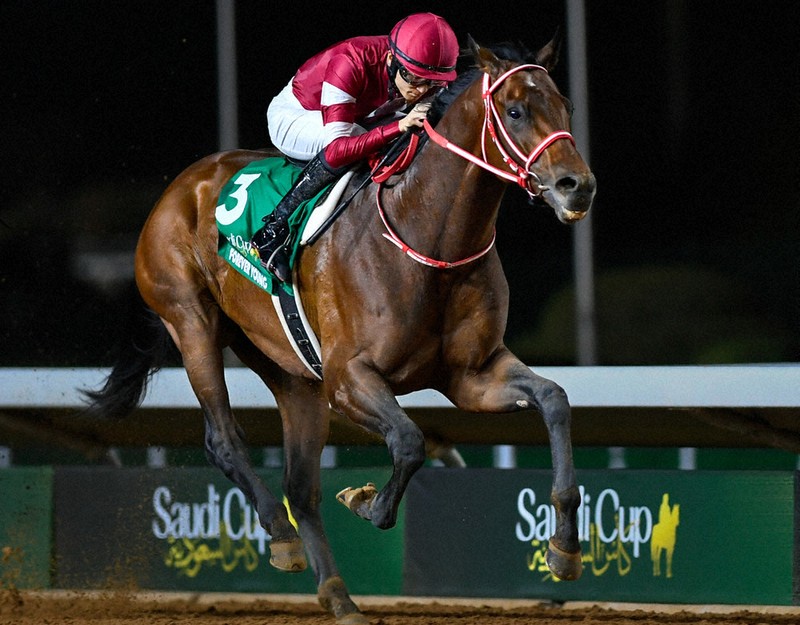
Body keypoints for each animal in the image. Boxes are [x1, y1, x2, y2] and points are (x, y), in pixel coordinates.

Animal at [85, 36, 596, 623]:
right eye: (514, 111)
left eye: (566, 107)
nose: (577, 187)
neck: (429, 235)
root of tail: (181, 186)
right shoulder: (349, 379)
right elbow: (409, 441)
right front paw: (365, 501)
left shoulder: (473, 375)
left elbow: (554, 399)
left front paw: (564, 550)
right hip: (191, 322)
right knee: (224, 440)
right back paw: (280, 535)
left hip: (290, 372)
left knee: (300, 484)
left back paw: (338, 594)